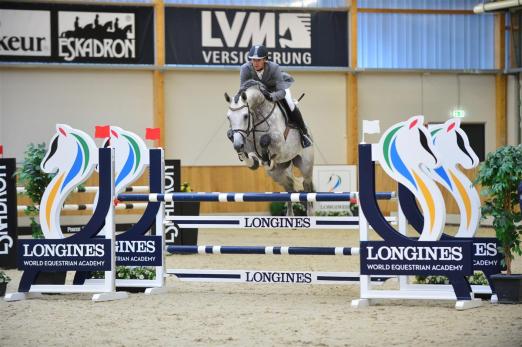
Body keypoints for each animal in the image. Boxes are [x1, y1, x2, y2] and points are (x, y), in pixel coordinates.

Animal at [223, 80, 312, 216]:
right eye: (228, 117)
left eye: (245, 116)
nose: (238, 145)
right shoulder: (246, 142)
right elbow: (243, 148)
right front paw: (252, 162)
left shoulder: (279, 143)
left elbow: (264, 140)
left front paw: (266, 159)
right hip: (278, 174)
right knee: (290, 188)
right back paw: (290, 215)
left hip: (306, 167)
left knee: (307, 189)